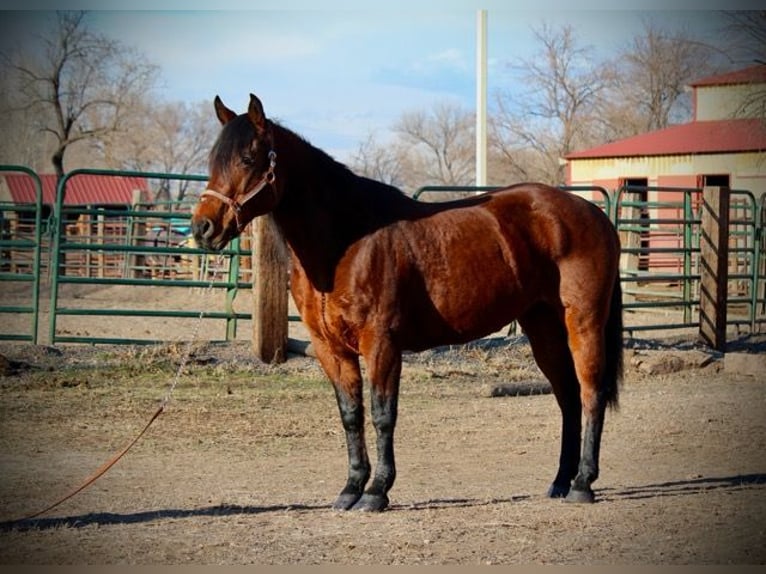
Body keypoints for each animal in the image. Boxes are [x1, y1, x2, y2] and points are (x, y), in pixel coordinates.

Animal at [190, 94, 624, 512]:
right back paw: (560, 482)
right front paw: (350, 489)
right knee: (567, 396)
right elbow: (351, 415)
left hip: (583, 321)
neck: (346, 241)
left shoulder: (381, 343)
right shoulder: (331, 349)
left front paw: (376, 492)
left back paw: (582, 484)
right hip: (543, 326)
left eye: (248, 159)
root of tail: (593, 214)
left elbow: (383, 415)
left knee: (590, 392)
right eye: (212, 161)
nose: (203, 228)